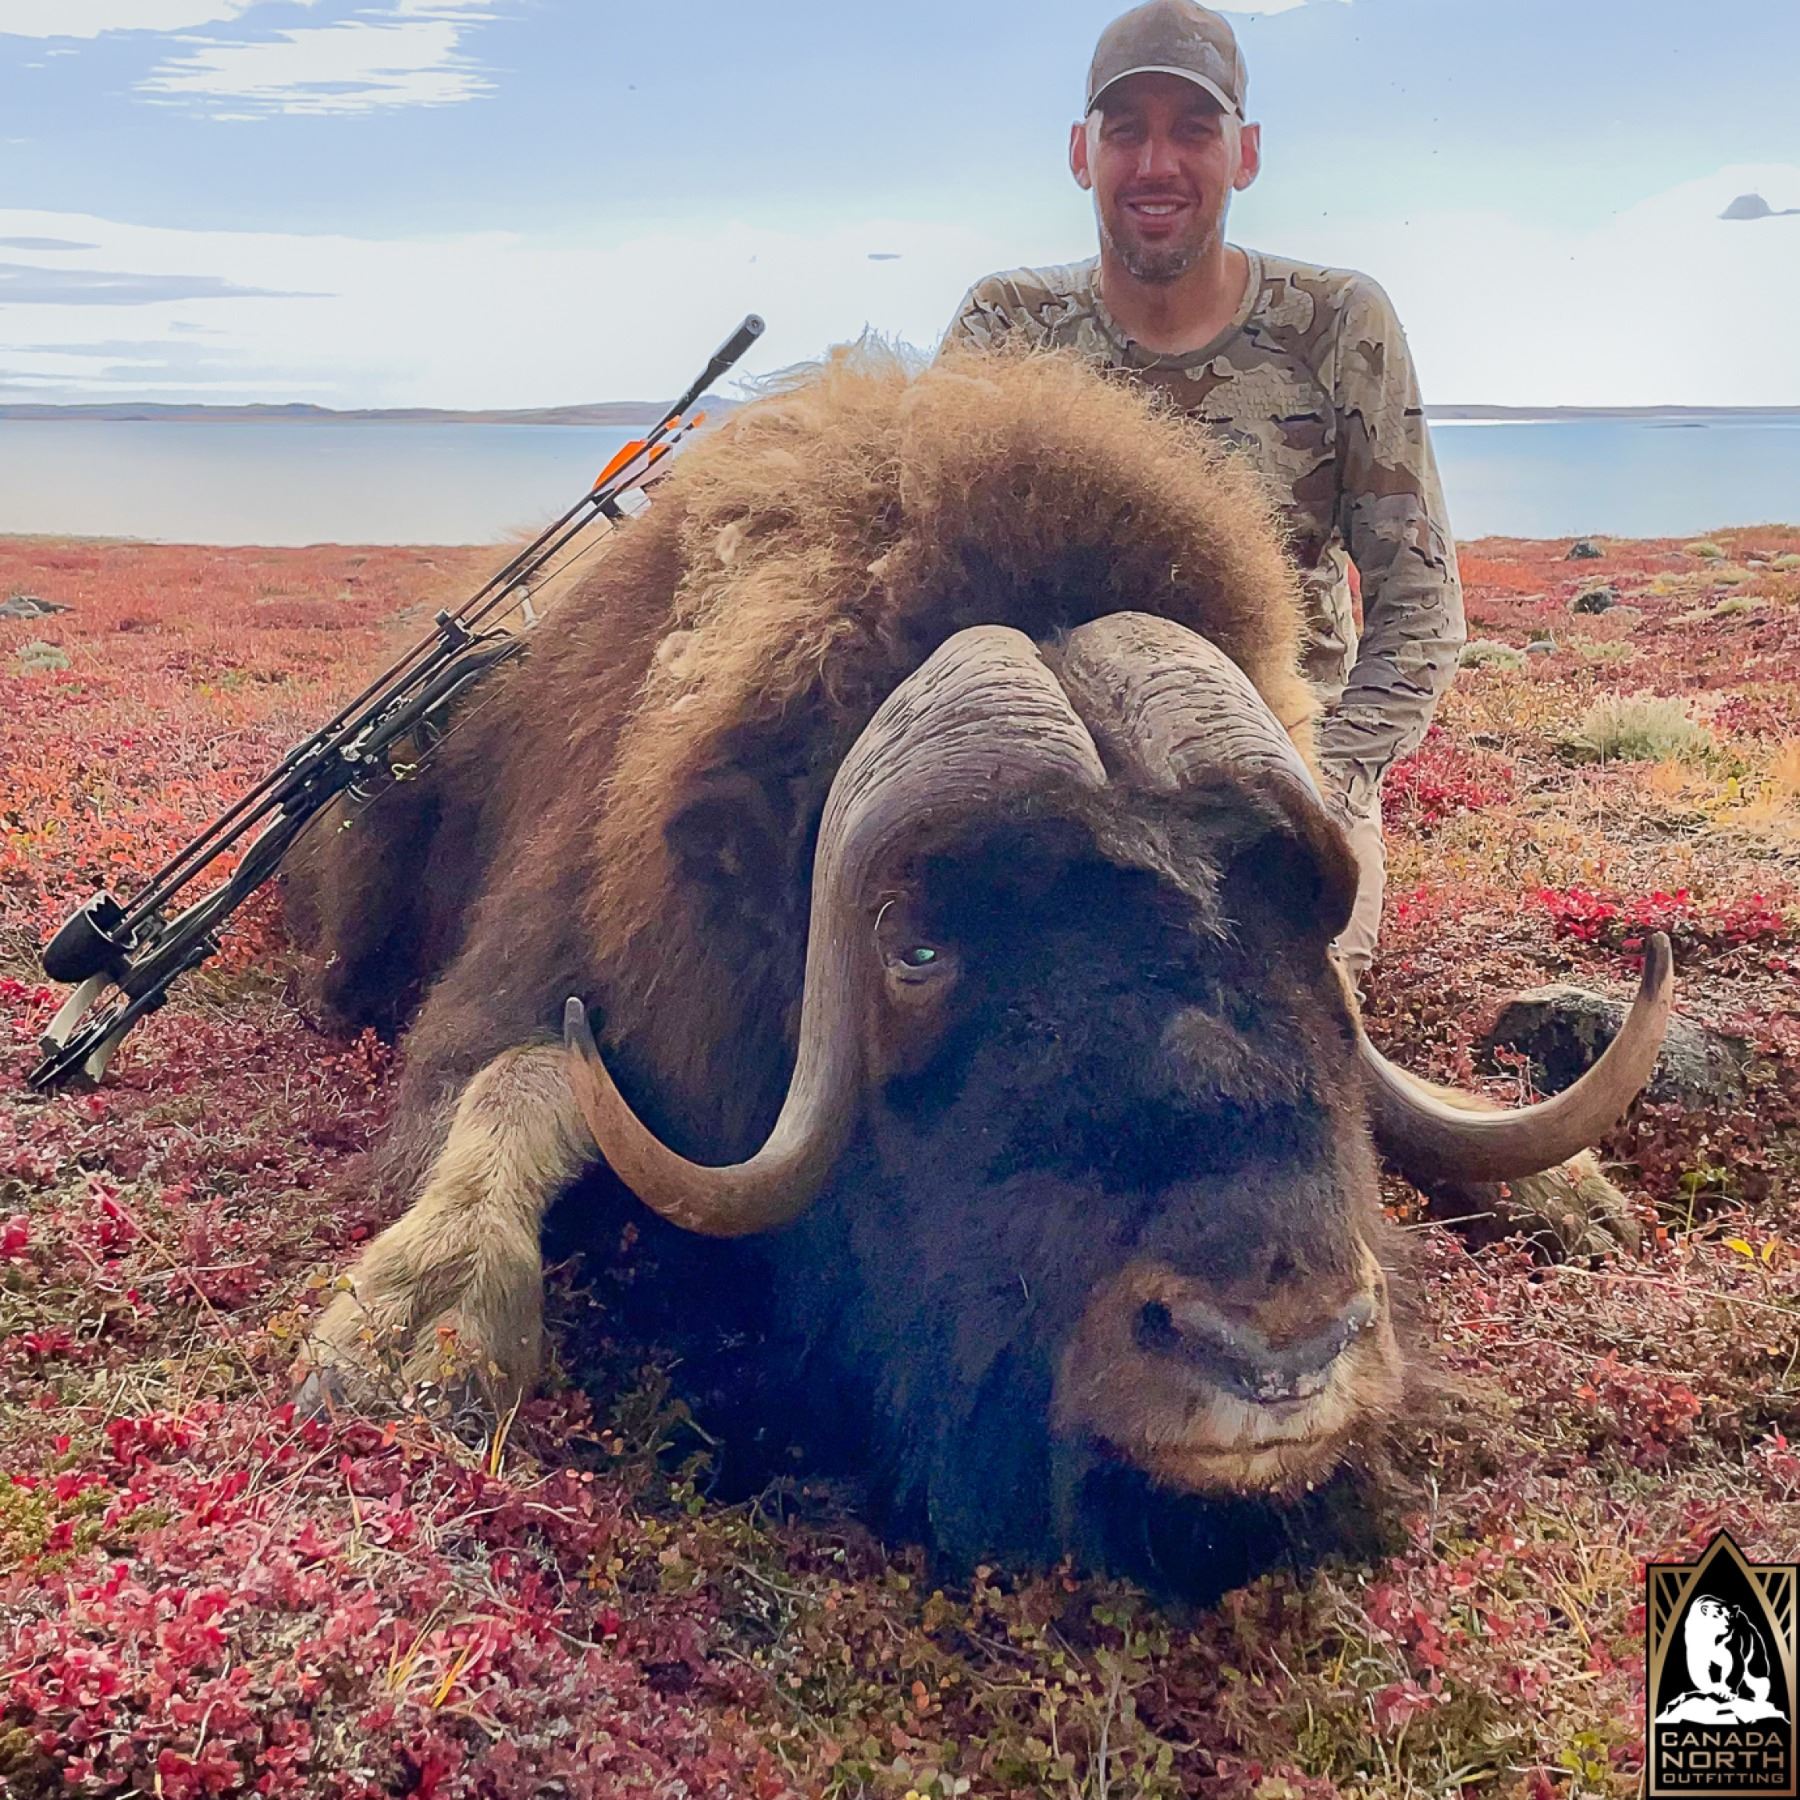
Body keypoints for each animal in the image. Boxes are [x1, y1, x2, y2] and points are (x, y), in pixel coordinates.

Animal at [286, 344, 1669, 1583]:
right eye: (917, 943)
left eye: (1304, 915)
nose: (1280, 1345)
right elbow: (515, 1084)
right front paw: (410, 1339)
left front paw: (1570, 1193)